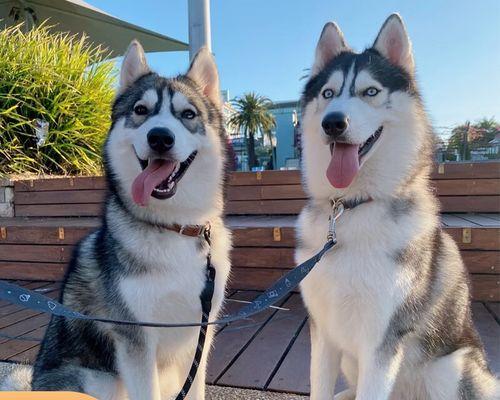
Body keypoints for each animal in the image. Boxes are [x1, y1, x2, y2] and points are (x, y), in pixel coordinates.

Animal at [8, 41, 230, 400]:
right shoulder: (136, 338)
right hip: (99, 380)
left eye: (188, 114)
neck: (174, 227)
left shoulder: (199, 335)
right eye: (141, 110)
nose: (160, 137)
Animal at [296, 13, 500, 400]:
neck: (353, 207)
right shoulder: (324, 330)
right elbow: (318, 386)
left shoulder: (382, 341)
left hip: (448, 367)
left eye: (370, 92)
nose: (333, 122)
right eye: (328, 94)